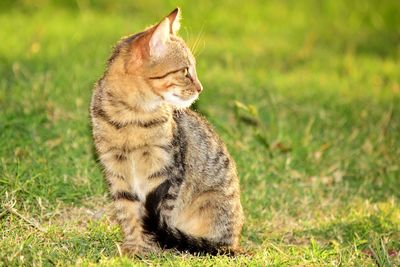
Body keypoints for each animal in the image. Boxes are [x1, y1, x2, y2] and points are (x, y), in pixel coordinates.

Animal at [90, 7, 244, 256]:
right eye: (185, 71)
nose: (200, 88)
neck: (132, 116)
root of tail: (234, 243)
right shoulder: (117, 170)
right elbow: (128, 213)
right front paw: (133, 248)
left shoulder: (166, 172)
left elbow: (160, 215)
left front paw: (152, 247)